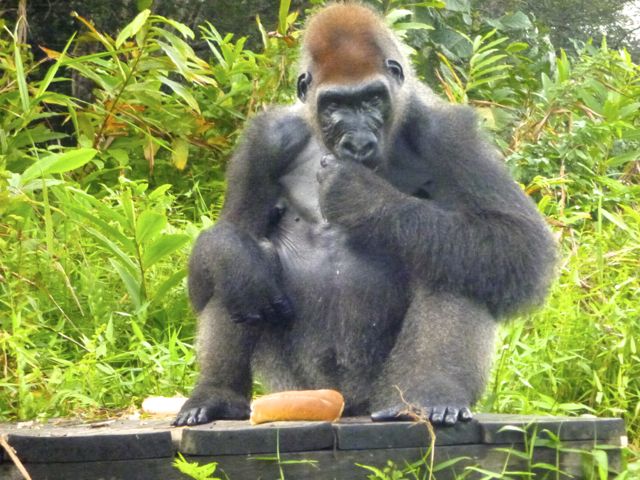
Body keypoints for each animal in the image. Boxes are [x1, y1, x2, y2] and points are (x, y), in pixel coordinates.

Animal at [172, 3, 556, 427]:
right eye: (335, 105)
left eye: (373, 99)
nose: (357, 143)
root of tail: (349, 404)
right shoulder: (265, 140)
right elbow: (230, 234)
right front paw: (233, 256)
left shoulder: (449, 132)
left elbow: (517, 241)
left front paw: (360, 195)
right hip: (297, 386)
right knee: (240, 270)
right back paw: (217, 393)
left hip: (379, 391)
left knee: (462, 260)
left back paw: (432, 393)